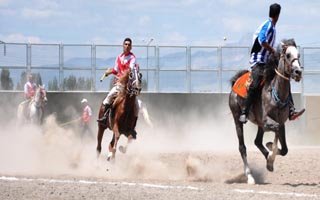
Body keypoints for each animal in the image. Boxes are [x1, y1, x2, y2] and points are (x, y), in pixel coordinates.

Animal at [229, 39, 302, 184]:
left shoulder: (281, 122)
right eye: (288, 55)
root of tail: (235, 82)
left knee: (257, 141)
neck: (275, 92)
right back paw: (250, 177)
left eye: (299, 55)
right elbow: (276, 132)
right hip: (237, 118)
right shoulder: (267, 122)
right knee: (242, 147)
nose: (298, 72)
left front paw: (270, 159)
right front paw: (270, 151)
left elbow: (284, 149)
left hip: (259, 125)